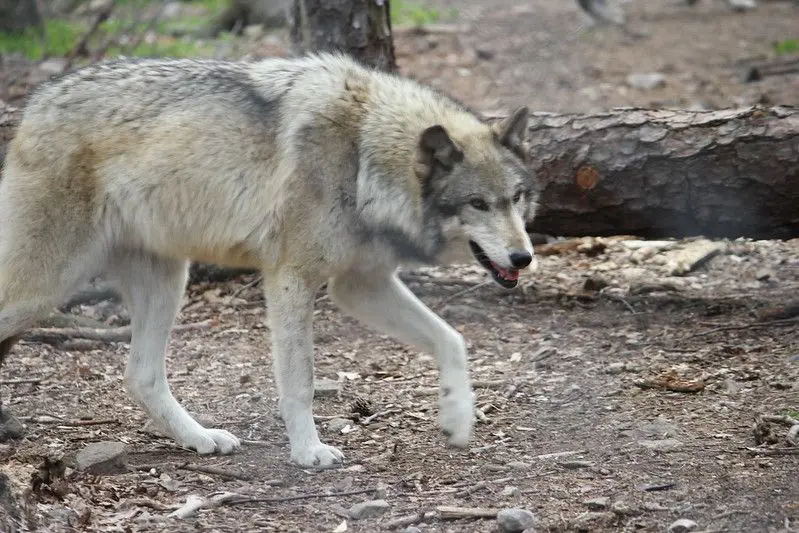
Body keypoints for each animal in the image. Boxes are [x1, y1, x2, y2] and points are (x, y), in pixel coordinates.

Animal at [0, 52, 538, 467]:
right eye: (477, 203)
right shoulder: (292, 278)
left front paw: (458, 419)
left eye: (516, 198)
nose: (523, 257)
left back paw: (201, 439)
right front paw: (308, 452)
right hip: (46, 287)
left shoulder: (359, 285)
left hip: (167, 282)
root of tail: (32, 106)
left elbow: (452, 340)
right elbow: (300, 381)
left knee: (141, 376)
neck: (362, 151)